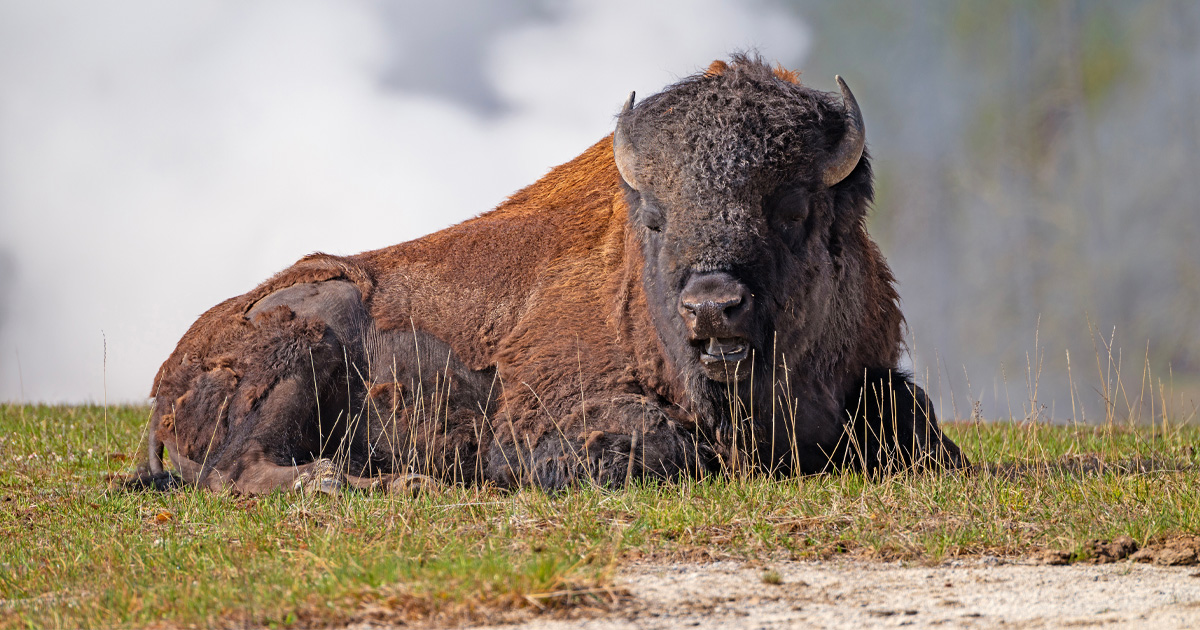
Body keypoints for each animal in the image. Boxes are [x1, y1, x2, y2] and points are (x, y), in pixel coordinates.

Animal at [133, 55, 965, 495]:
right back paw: (373, 482)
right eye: (655, 215)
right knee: (240, 470)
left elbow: (915, 423)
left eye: (792, 203)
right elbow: (661, 448)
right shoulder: (547, 415)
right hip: (303, 348)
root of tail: (167, 378)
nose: (711, 306)